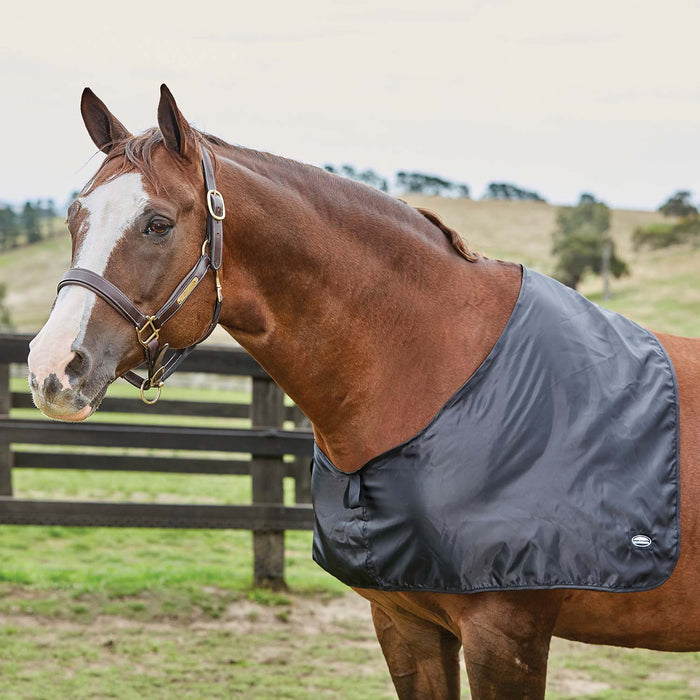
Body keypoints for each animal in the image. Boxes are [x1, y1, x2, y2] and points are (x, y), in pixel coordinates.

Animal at [27, 85, 700, 699]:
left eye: (159, 224)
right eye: (74, 219)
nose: (51, 369)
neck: (440, 375)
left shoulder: (507, 637)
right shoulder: (406, 624)